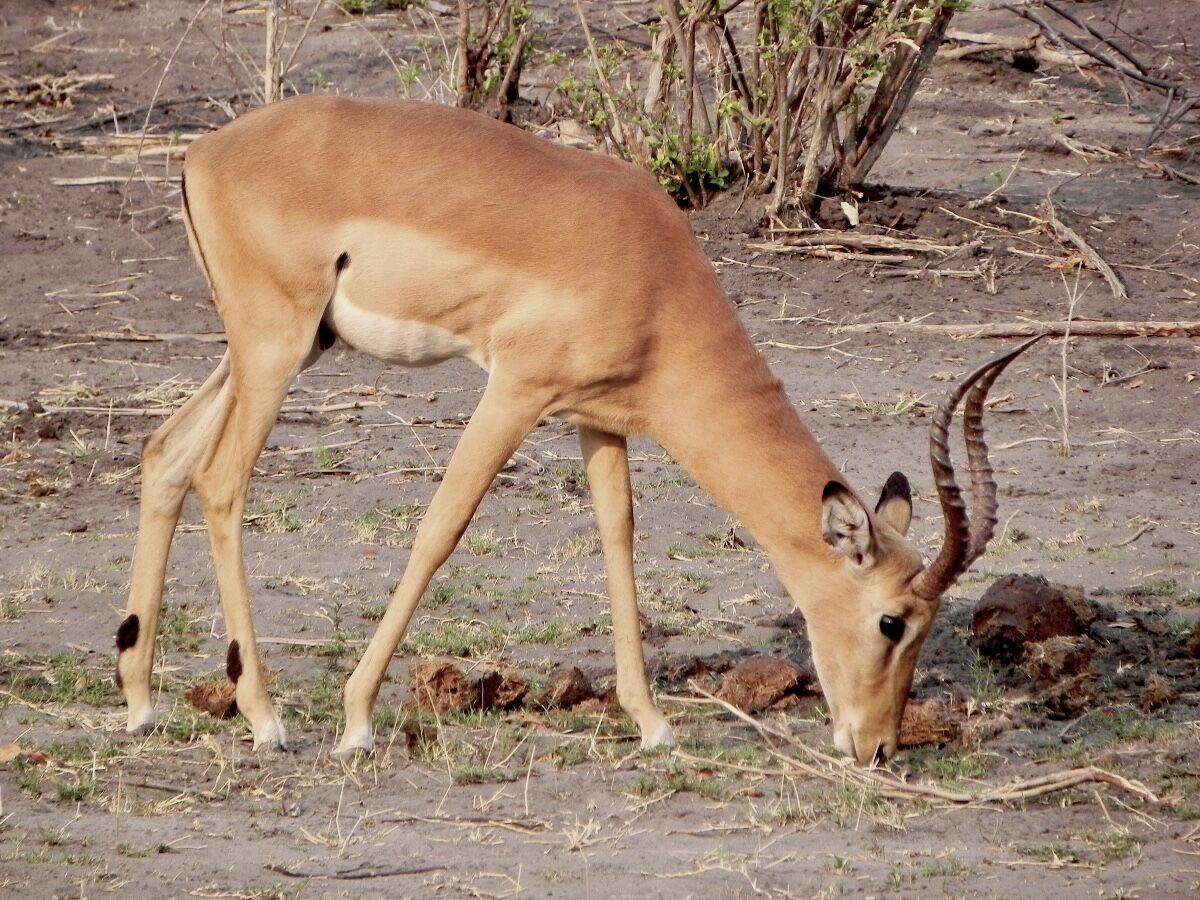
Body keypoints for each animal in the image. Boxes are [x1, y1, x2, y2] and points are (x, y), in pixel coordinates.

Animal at [114, 95, 1041, 765]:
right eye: (892, 622)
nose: (878, 747)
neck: (649, 271)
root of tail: (204, 153)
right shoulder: (514, 392)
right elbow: (441, 529)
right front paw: (356, 721)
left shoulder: (600, 421)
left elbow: (618, 540)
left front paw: (654, 724)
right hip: (274, 348)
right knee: (221, 479)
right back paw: (265, 718)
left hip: (284, 347)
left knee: (166, 454)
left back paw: (141, 701)